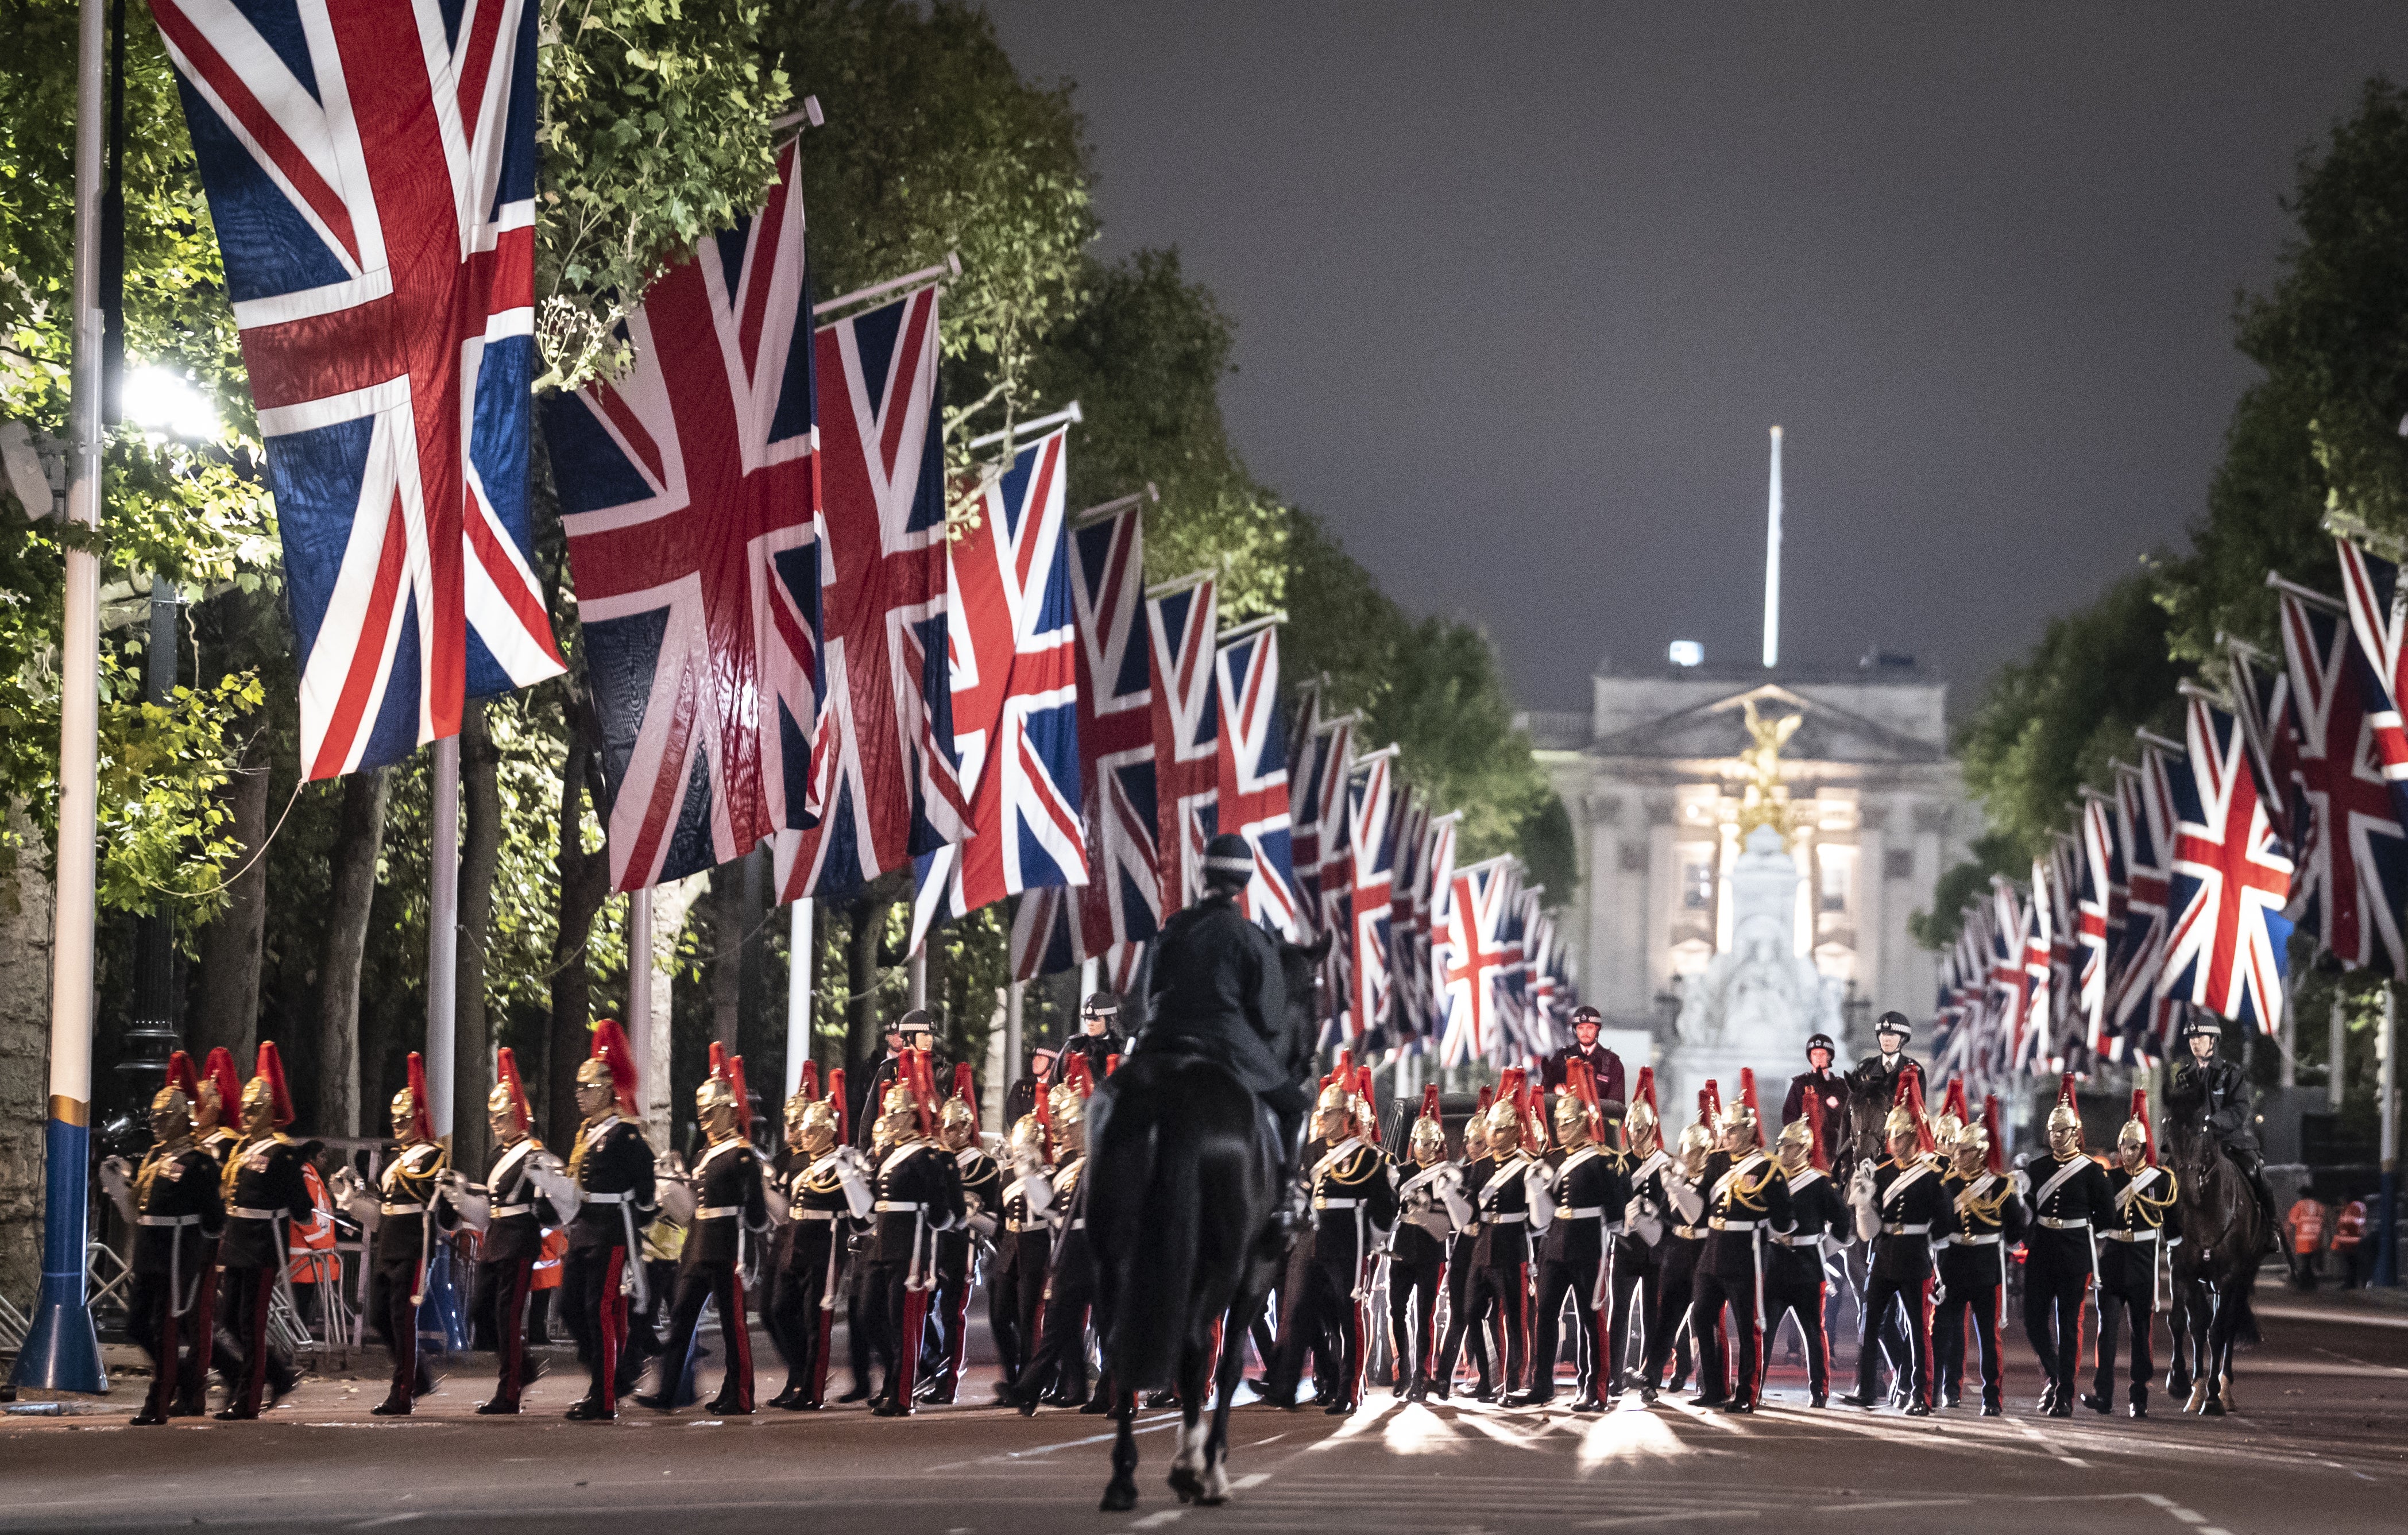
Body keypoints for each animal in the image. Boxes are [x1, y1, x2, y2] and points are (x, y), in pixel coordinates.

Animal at [1088, 935, 1329, 1513]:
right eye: (1314, 995)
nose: (1308, 1066)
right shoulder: (1255, 1269)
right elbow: (1226, 1363)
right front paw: (1210, 1461)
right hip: (1221, 1261)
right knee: (1198, 1344)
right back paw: (1192, 1471)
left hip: (1110, 1256)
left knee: (1118, 1340)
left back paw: (1123, 1477)